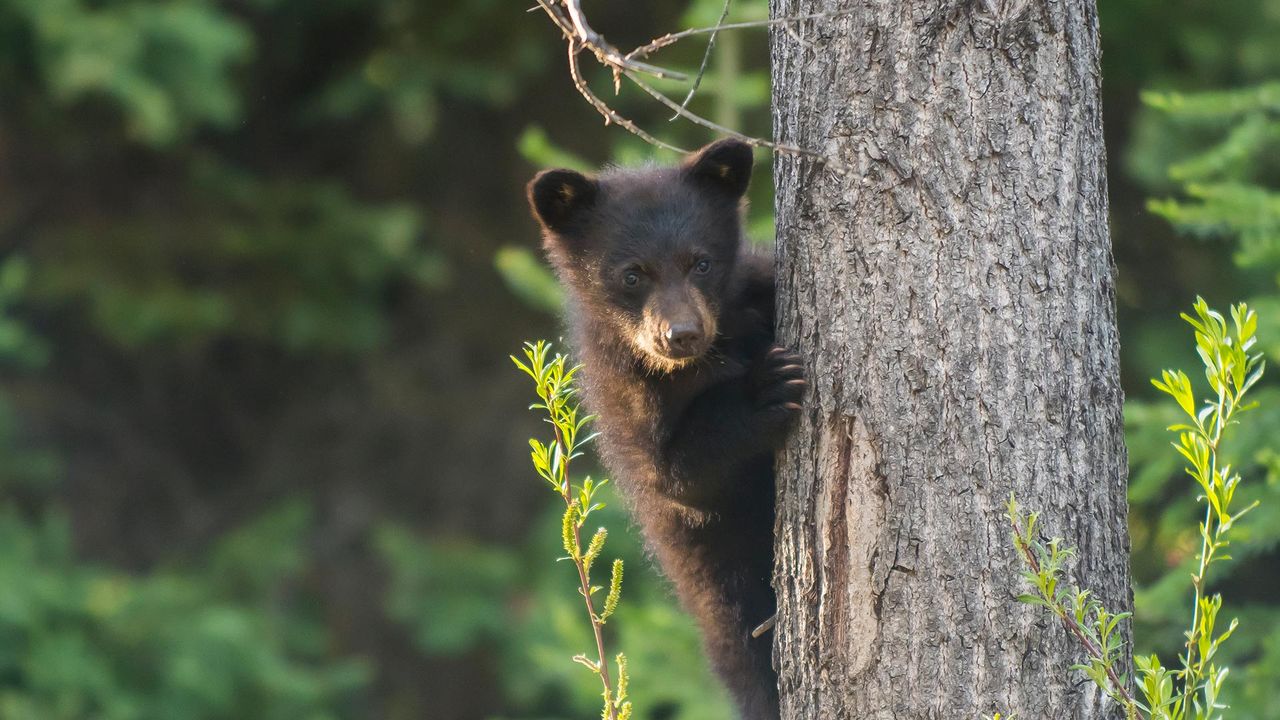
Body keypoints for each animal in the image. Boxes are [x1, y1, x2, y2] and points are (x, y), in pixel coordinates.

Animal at [526, 138, 805, 720]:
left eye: (701, 262)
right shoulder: (624, 400)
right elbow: (680, 474)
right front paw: (766, 387)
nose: (682, 334)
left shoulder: (755, 291)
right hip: (724, 595)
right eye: (632, 274)